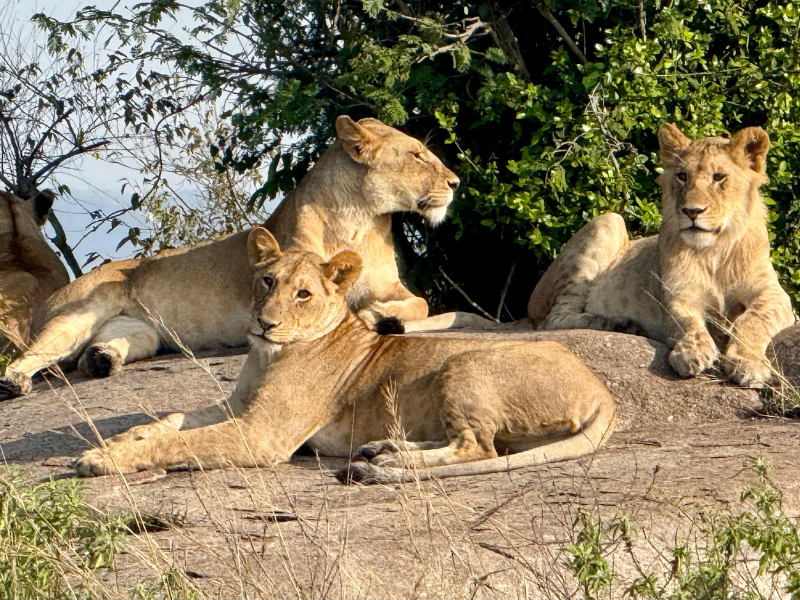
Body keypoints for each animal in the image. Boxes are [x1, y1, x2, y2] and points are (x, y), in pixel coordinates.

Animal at [73, 228, 615, 483]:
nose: (264, 323)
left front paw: (103, 461)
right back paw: (381, 449)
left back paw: (383, 463)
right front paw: (116, 441)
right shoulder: (238, 406)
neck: (268, 355)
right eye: (266, 281)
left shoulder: (262, 433)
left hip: (465, 363)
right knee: (477, 445)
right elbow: (170, 421)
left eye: (304, 294)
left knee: (477, 449)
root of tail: (602, 391)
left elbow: (183, 442)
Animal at [527, 124, 794, 387]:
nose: (691, 211)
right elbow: (687, 323)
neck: (714, 252)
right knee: (552, 319)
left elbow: (753, 320)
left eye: (719, 177)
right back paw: (612, 323)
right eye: (682, 176)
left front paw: (749, 364)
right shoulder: (679, 295)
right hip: (610, 221)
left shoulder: (774, 294)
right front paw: (691, 353)